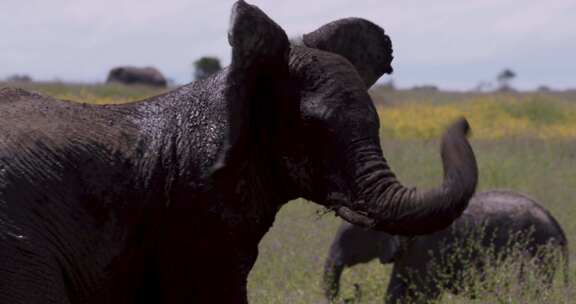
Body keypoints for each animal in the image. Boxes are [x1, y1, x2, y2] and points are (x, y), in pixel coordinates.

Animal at [322, 189, 568, 302]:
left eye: (351, 236)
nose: (353, 290)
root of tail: (555, 222)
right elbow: (396, 293)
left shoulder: (427, 248)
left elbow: (423, 294)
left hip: (538, 250)